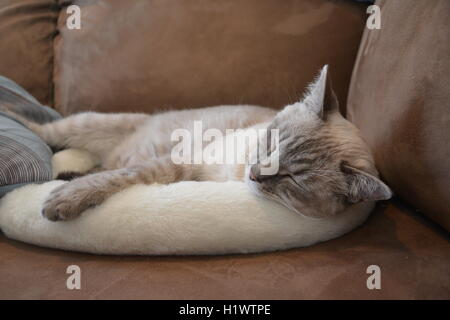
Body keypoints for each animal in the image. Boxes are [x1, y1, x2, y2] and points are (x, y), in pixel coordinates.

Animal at [3, 65, 390, 220]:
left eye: (292, 179)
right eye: (270, 142)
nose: (255, 174)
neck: (235, 173)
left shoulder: (182, 171)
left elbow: (117, 177)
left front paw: (64, 198)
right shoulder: (184, 161)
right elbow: (120, 178)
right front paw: (63, 201)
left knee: (92, 165)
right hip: (85, 124)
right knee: (41, 127)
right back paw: (8, 107)